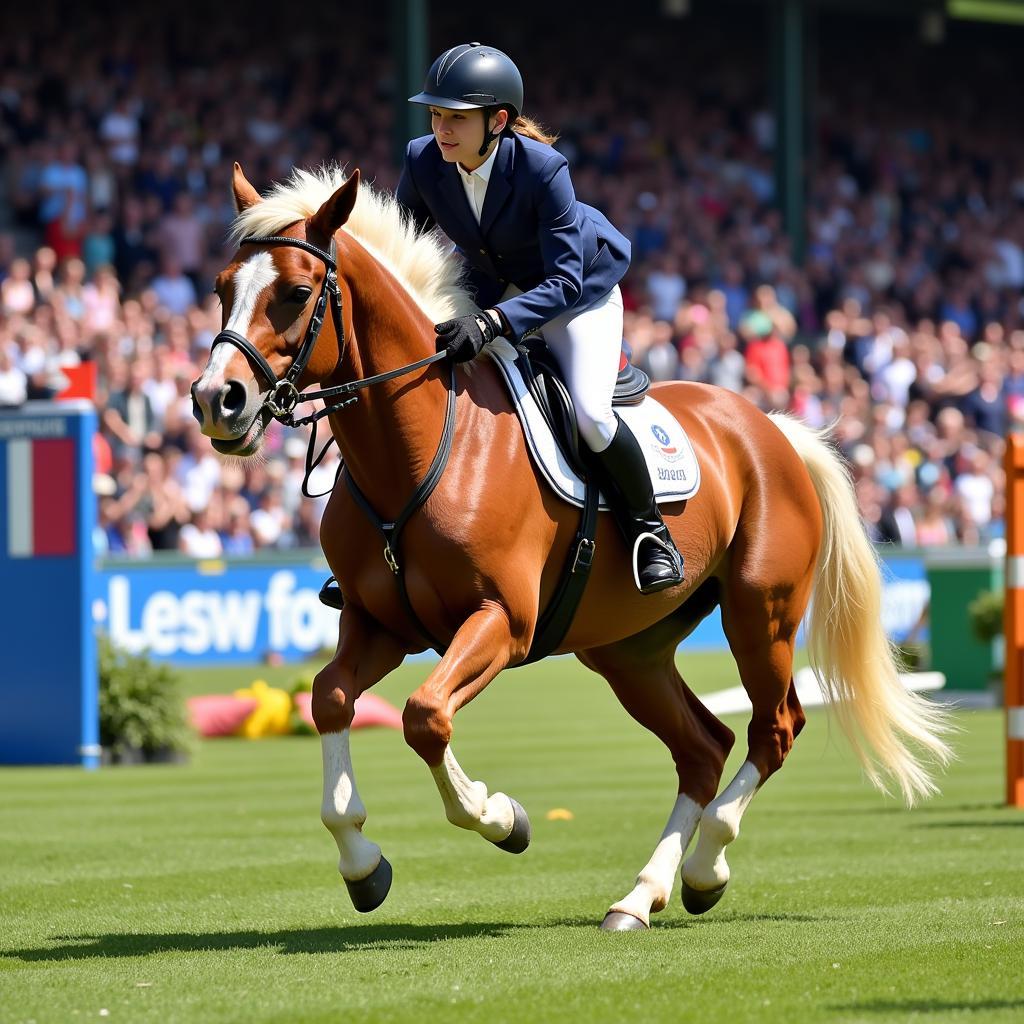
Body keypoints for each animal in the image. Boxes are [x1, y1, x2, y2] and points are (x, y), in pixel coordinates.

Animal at [193, 163, 950, 933]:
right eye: (223, 288)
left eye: (295, 293)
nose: (215, 401)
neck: (417, 445)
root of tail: (770, 428)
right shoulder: (379, 625)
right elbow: (330, 699)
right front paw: (363, 865)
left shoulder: (503, 623)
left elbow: (425, 717)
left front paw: (503, 818)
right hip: (627, 648)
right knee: (703, 748)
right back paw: (640, 897)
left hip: (759, 614)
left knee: (774, 729)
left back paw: (704, 869)